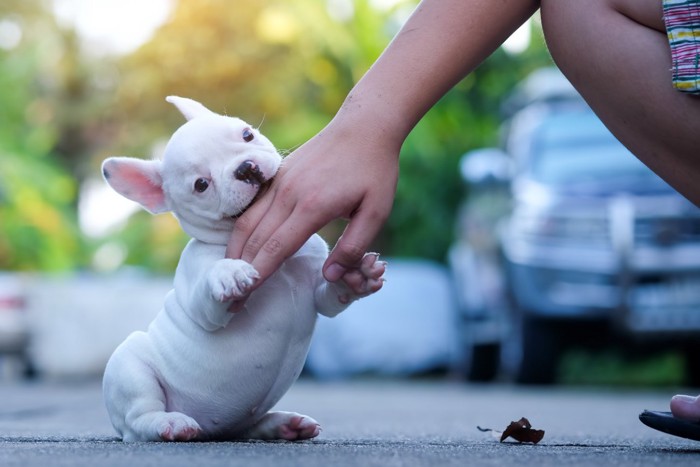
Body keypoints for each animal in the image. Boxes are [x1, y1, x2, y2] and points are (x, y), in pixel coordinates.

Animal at [102, 96, 388, 442]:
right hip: (130, 366)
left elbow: (329, 295)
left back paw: (284, 424)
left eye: (247, 134)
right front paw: (229, 273)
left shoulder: (315, 289)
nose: (245, 168)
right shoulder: (203, 305)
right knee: (138, 419)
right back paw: (168, 424)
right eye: (201, 185)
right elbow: (209, 295)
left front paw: (354, 278)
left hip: (240, 417)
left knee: (246, 425)